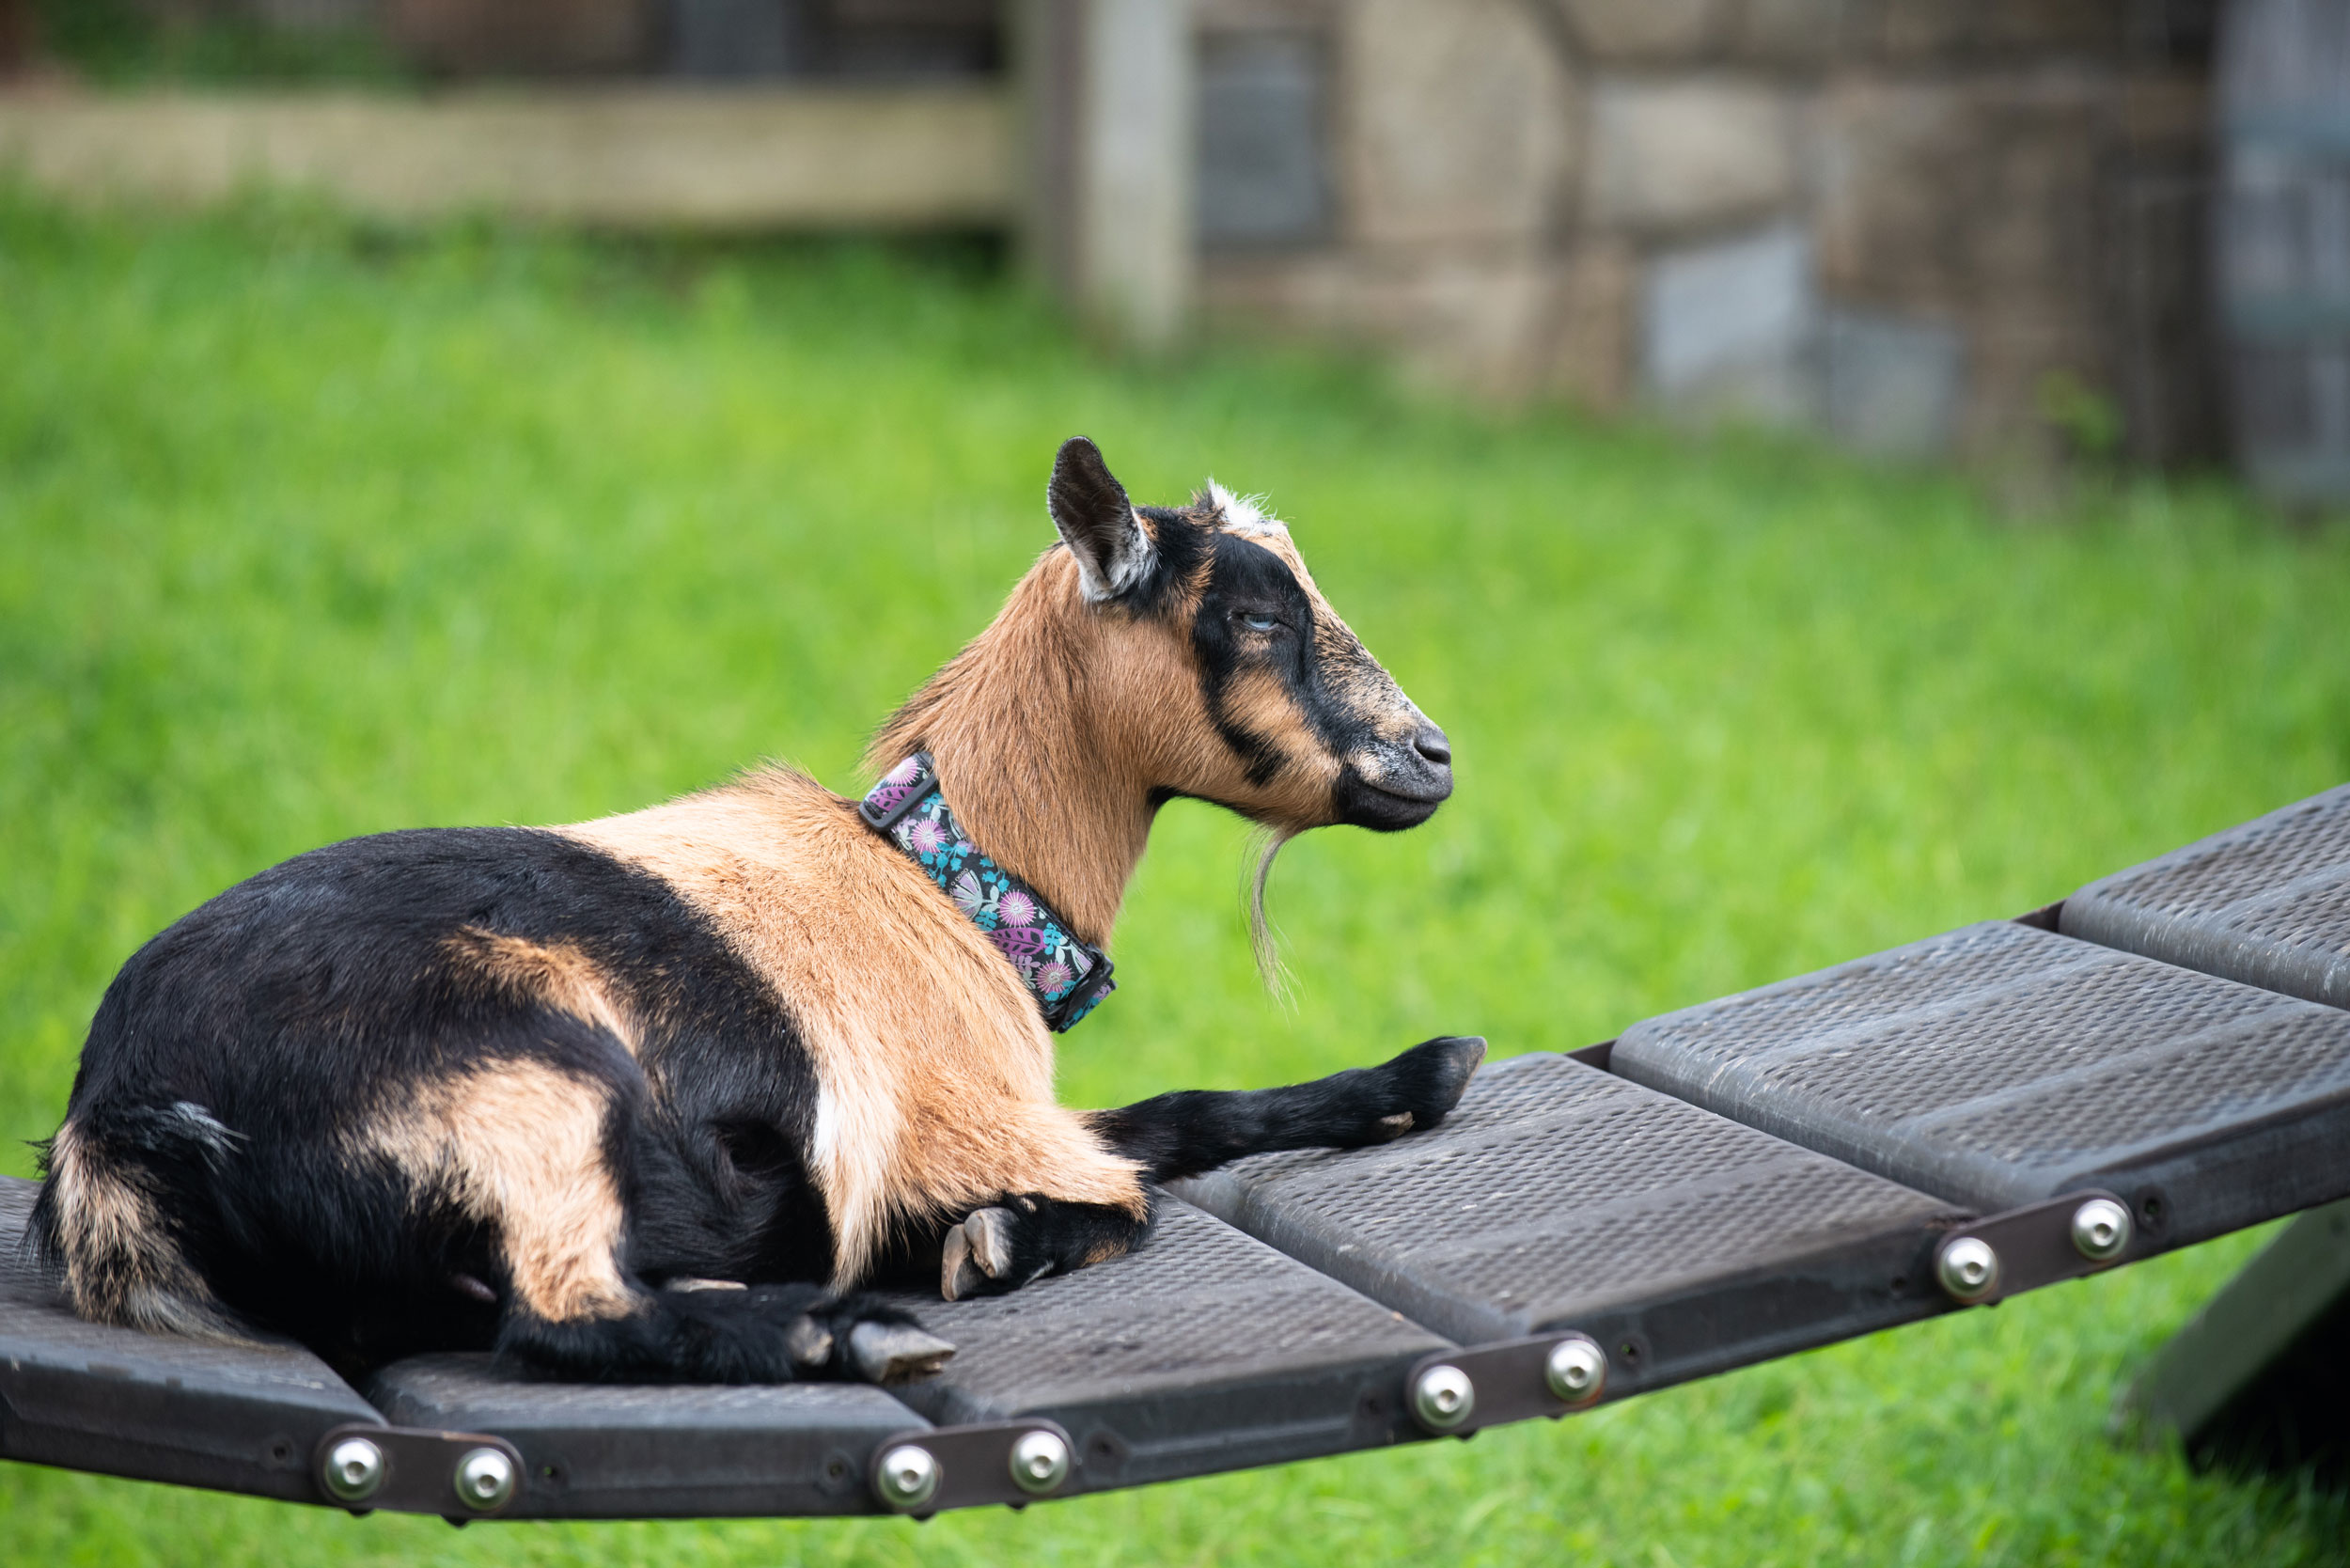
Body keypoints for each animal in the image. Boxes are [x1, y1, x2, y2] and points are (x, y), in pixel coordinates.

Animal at [27, 439, 1476, 1382]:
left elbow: (1181, 1113)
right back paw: (849, 1329)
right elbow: (1130, 1192)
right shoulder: (953, 1126)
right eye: (1250, 615)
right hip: (533, 1075)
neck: (947, 893)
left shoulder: (1016, 1112)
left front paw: (1425, 1072)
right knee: (559, 1316)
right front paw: (990, 1246)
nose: (1433, 758)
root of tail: (118, 1121)